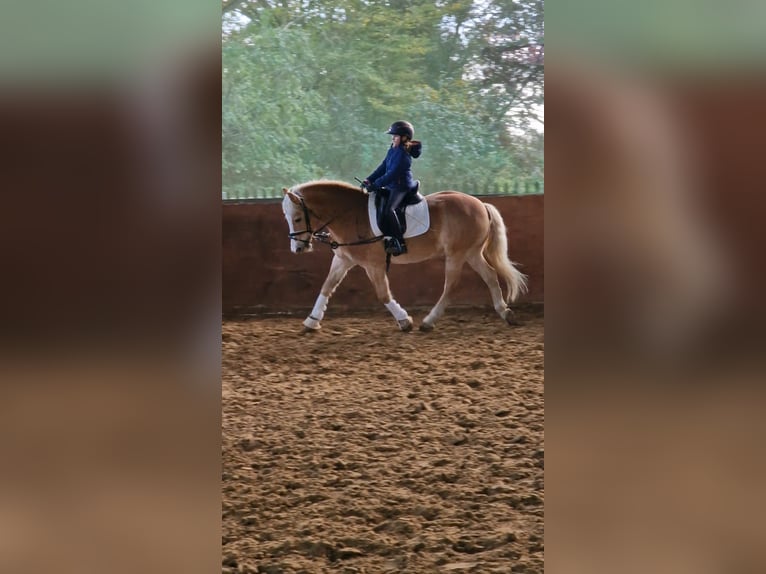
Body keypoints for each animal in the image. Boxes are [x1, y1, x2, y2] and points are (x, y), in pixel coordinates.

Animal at [282, 180, 528, 332]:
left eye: (297, 218)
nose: (298, 249)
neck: (349, 215)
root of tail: (480, 204)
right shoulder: (343, 260)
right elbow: (326, 287)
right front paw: (311, 322)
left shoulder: (373, 265)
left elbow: (383, 294)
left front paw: (404, 320)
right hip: (471, 252)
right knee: (490, 276)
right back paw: (506, 313)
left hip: (457, 254)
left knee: (451, 285)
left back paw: (428, 321)